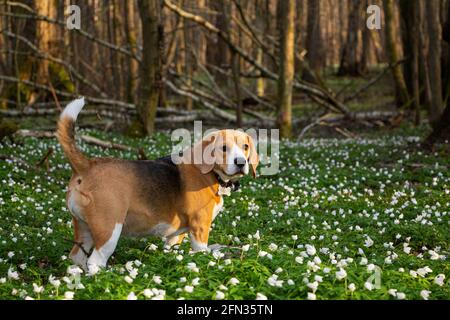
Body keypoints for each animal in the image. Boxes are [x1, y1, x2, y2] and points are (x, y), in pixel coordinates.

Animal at [57, 97, 260, 270]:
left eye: (245, 147)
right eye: (223, 148)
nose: (241, 162)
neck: (212, 175)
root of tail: (87, 165)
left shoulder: (177, 233)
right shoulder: (200, 226)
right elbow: (201, 251)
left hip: (83, 229)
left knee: (76, 257)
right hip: (109, 229)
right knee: (95, 261)